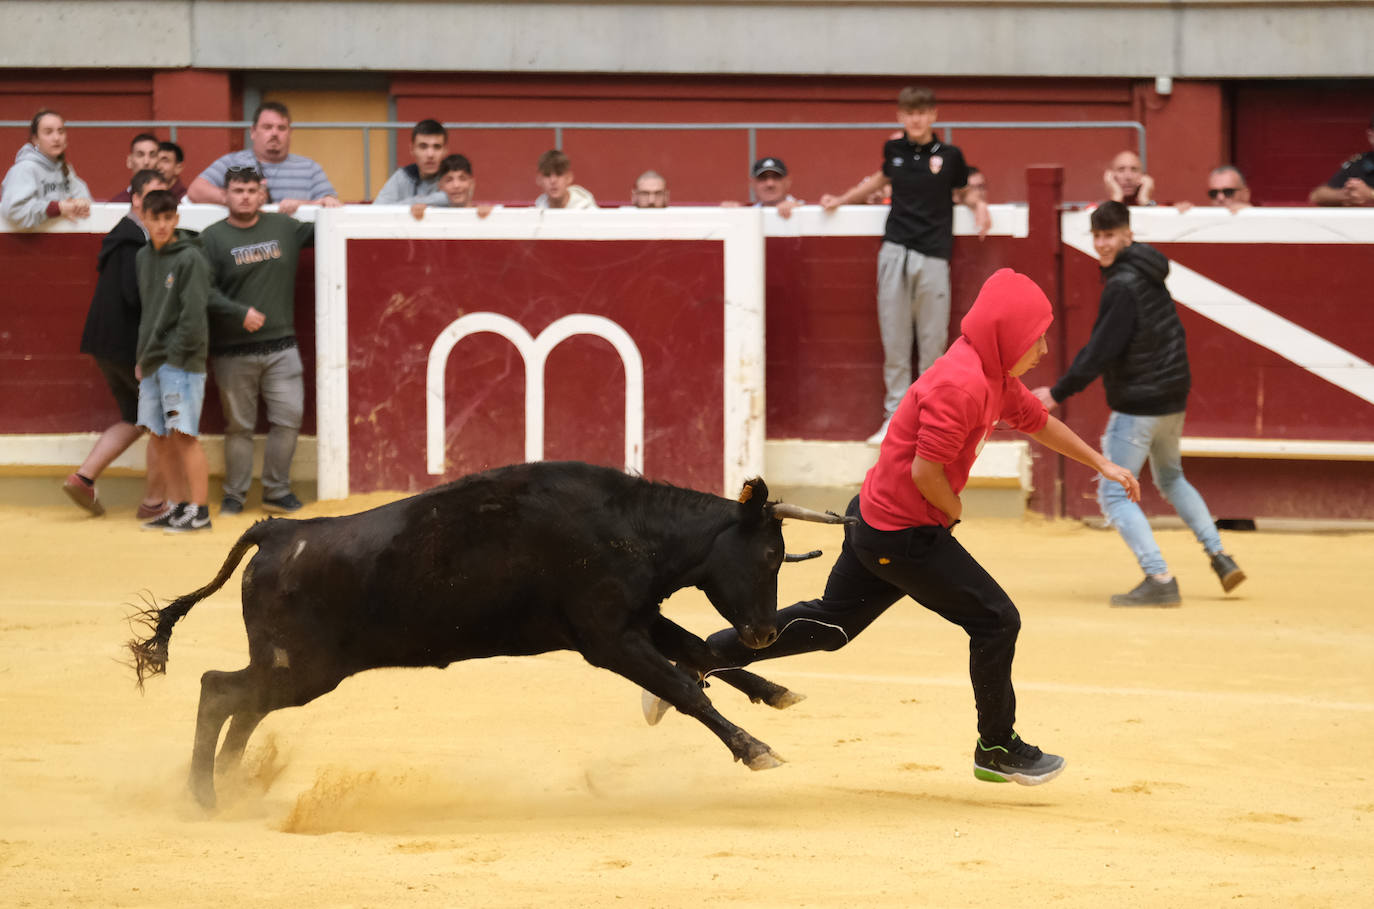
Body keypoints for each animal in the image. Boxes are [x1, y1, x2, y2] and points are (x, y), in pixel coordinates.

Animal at [133, 464, 851, 812]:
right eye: (768, 556)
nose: (764, 631)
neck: (629, 526)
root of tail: (279, 531)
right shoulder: (608, 639)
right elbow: (684, 683)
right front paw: (757, 750)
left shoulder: (638, 620)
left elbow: (700, 652)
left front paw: (775, 690)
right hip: (303, 667)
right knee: (219, 690)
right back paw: (206, 795)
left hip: (293, 669)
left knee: (240, 702)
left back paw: (230, 785)